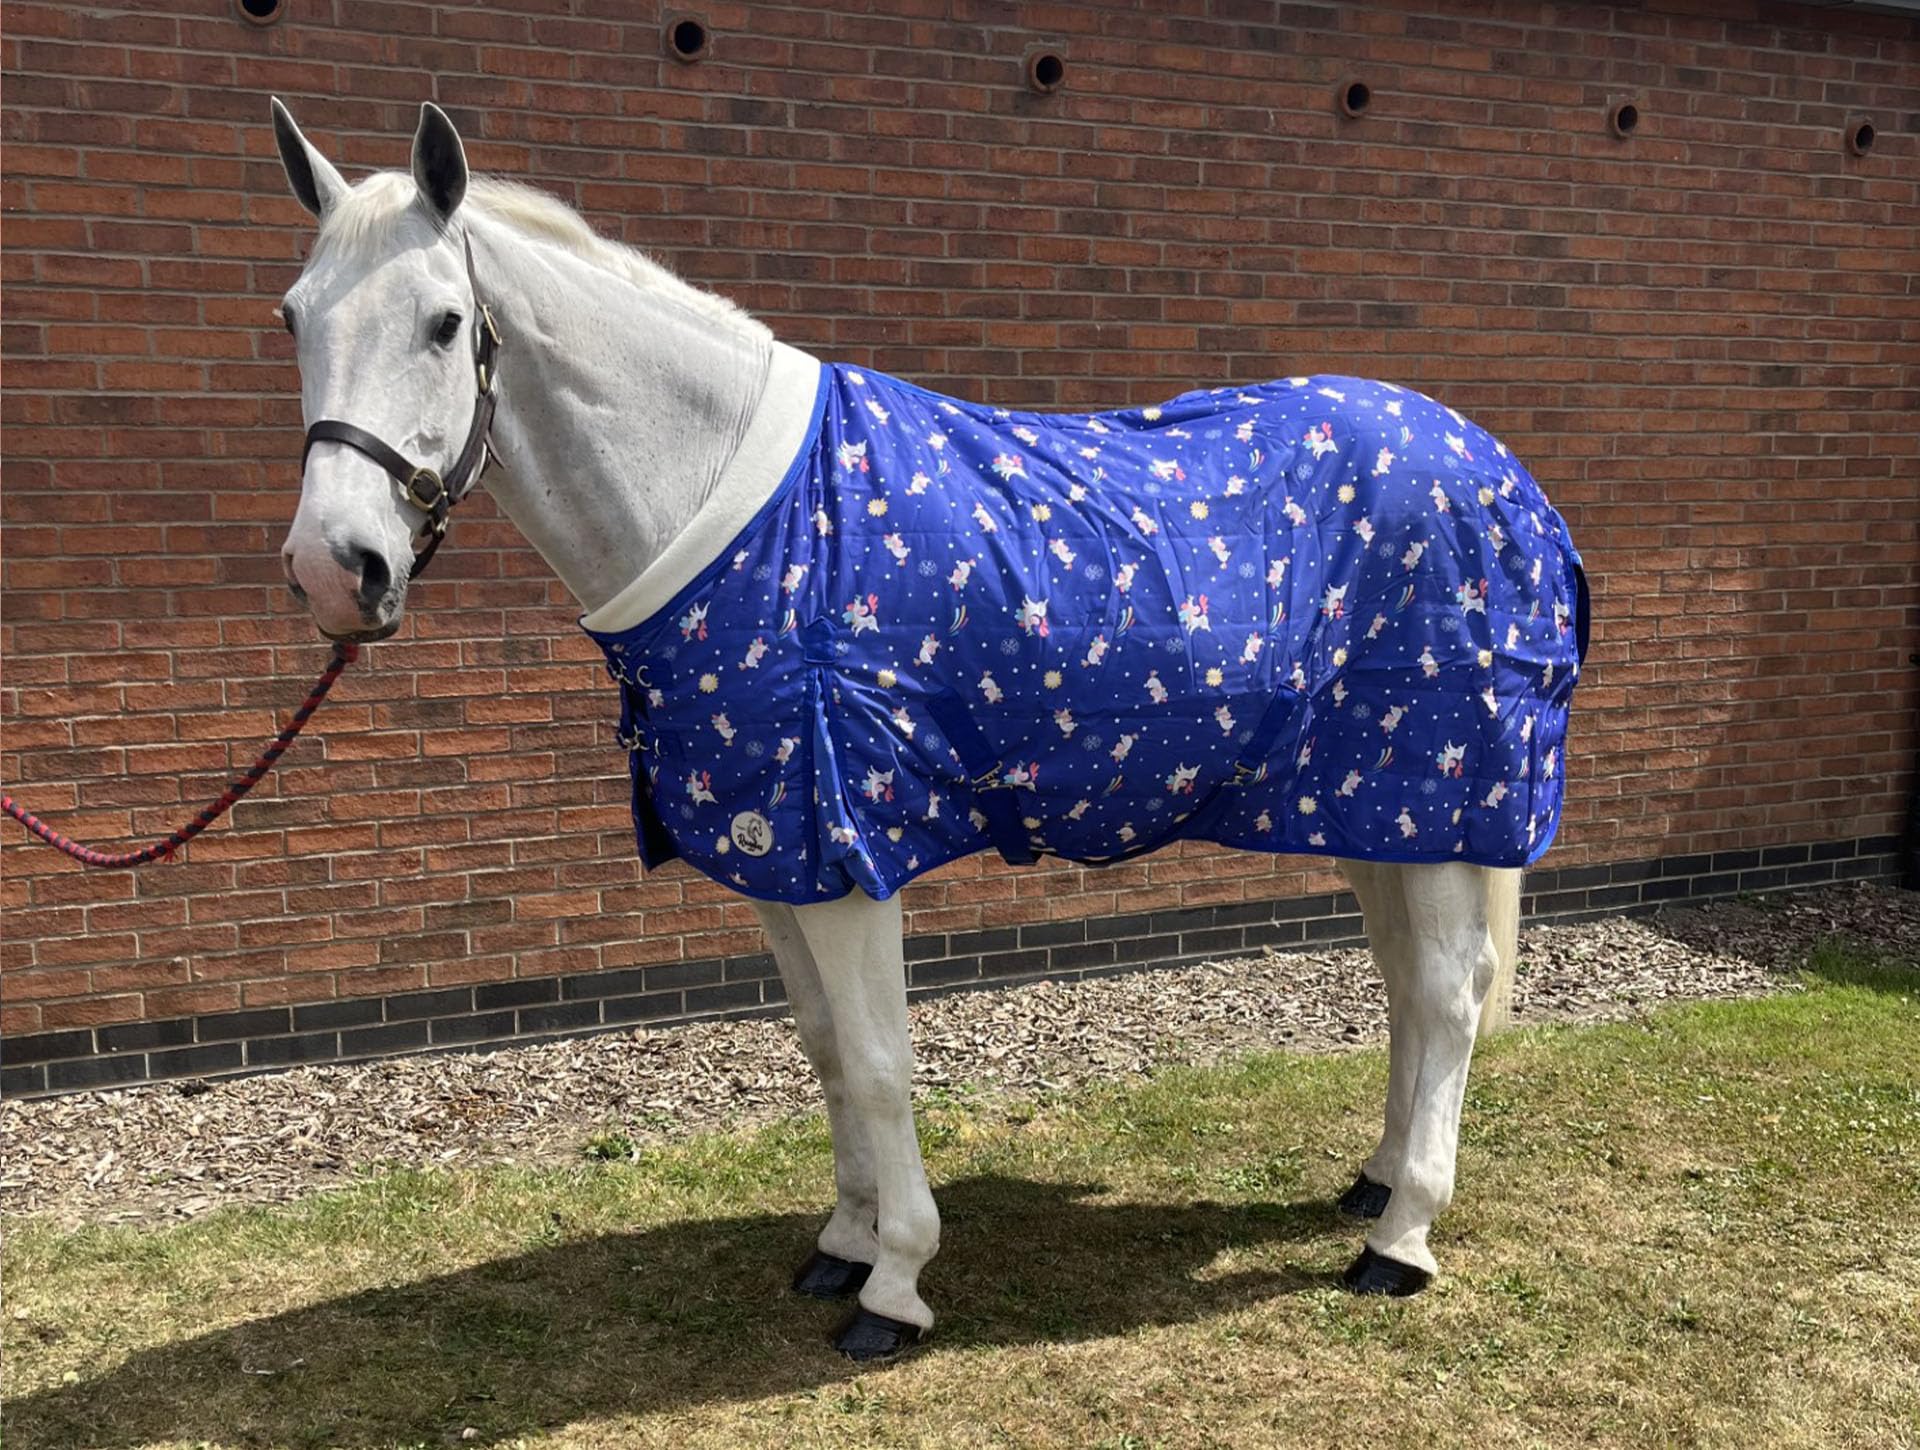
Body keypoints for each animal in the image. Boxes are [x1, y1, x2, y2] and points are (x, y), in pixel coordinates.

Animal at [270, 101, 1585, 1361]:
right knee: (1408, 982)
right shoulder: (775, 857)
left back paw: (1402, 1239)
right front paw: (843, 1241)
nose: (338, 571)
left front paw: (895, 1286)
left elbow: (882, 1063)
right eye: (291, 320)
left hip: (1447, 793)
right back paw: (1374, 1187)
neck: (736, 519)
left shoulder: (848, 850)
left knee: (1450, 993)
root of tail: (1503, 477)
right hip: (1379, 807)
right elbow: (824, 1051)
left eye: (444, 323)